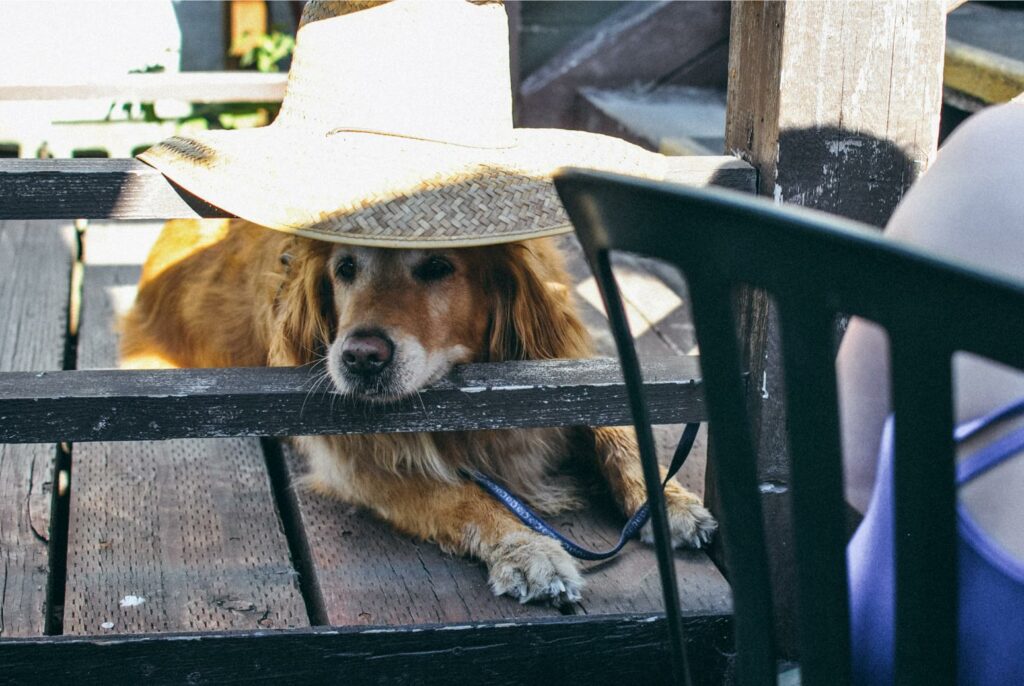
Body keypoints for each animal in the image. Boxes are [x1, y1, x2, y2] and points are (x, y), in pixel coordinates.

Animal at [121, 222, 712, 606]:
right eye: (346, 268)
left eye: (437, 266)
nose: (359, 357)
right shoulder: (359, 461)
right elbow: (462, 498)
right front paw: (526, 548)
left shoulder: (565, 372)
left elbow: (619, 435)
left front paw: (668, 501)